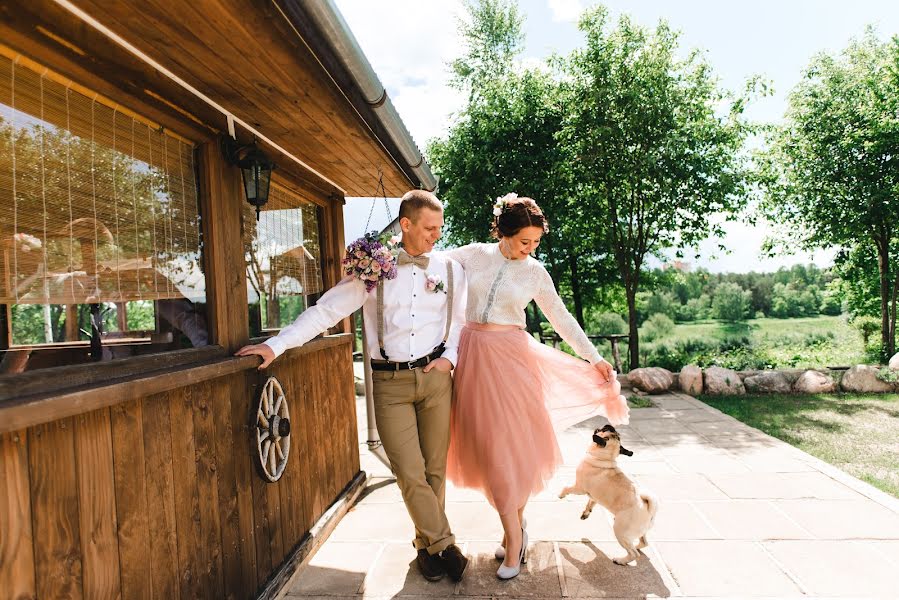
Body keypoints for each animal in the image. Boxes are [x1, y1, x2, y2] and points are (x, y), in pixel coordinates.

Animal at [560, 424, 656, 564]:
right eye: (609, 430)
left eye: (603, 430)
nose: (609, 425)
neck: (603, 459)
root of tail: (648, 509)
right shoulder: (593, 496)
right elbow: (590, 503)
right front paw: (586, 513)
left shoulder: (579, 488)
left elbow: (566, 488)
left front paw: (561, 494)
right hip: (638, 532)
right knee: (643, 542)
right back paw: (637, 546)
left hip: (620, 531)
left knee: (633, 554)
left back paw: (621, 560)